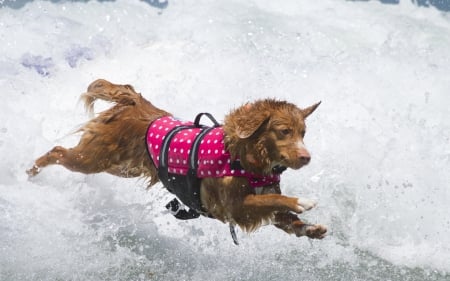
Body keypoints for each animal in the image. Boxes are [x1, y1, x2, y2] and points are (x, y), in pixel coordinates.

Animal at [28, 79, 326, 238]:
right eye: (284, 131)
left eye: (303, 132)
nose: (306, 157)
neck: (245, 158)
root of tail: (134, 102)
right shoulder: (234, 207)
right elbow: (272, 200)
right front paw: (302, 201)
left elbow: (282, 215)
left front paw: (310, 229)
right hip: (92, 159)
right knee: (58, 151)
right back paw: (32, 170)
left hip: (119, 166)